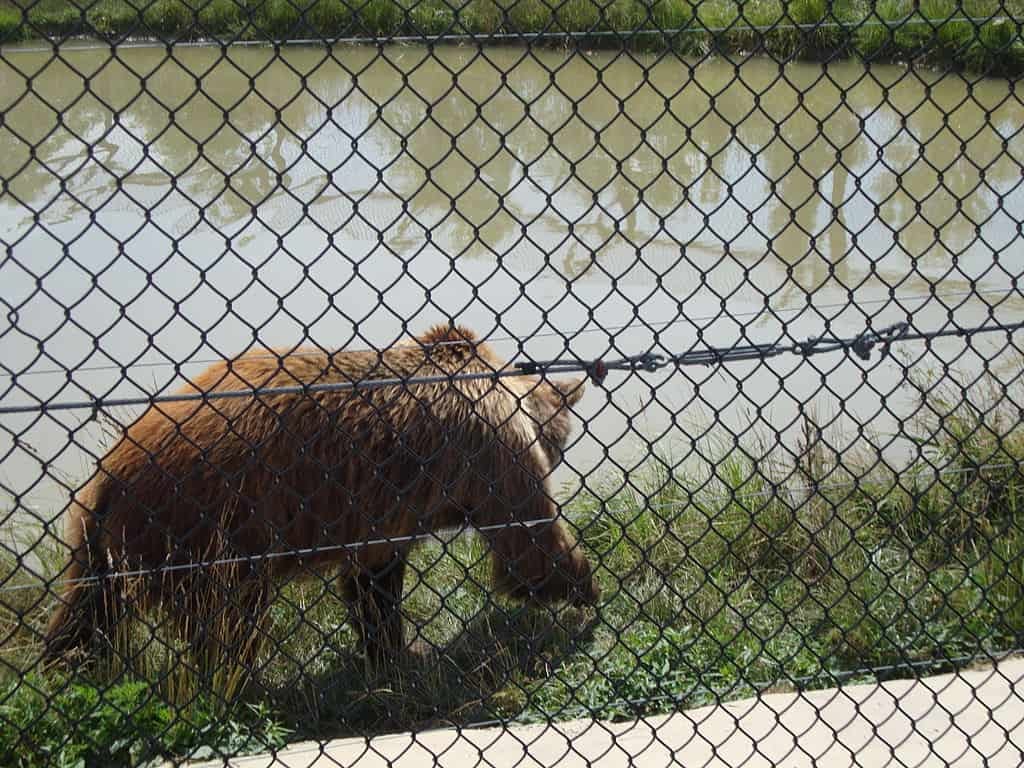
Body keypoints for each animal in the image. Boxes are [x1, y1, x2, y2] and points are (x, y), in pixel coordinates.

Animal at [41, 321, 598, 663]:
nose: (559, 453)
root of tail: (108, 473)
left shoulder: (380, 515)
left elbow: (375, 581)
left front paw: (394, 650)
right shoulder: (489, 447)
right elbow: (528, 542)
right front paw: (585, 591)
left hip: (105, 543)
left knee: (87, 611)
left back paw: (66, 664)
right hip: (205, 525)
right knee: (228, 622)